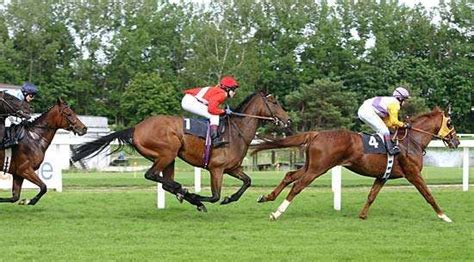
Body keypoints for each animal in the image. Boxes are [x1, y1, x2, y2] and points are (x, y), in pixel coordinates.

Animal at [71, 91, 290, 211]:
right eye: (275, 103)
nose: (287, 120)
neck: (236, 132)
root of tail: (136, 128)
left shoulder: (232, 168)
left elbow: (247, 181)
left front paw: (229, 198)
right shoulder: (216, 169)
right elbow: (214, 196)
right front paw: (197, 197)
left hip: (169, 158)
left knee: (163, 180)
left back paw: (180, 191)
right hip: (168, 152)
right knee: (152, 175)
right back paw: (184, 191)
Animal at [254, 107, 462, 222]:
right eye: (450, 122)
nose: (457, 141)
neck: (412, 141)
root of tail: (316, 133)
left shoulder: (382, 176)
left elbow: (371, 196)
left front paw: (362, 215)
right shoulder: (413, 174)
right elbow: (429, 195)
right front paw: (444, 216)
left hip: (310, 165)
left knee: (289, 176)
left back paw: (267, 197)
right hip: (318, 169)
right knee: (297, 186)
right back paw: (277, 213)